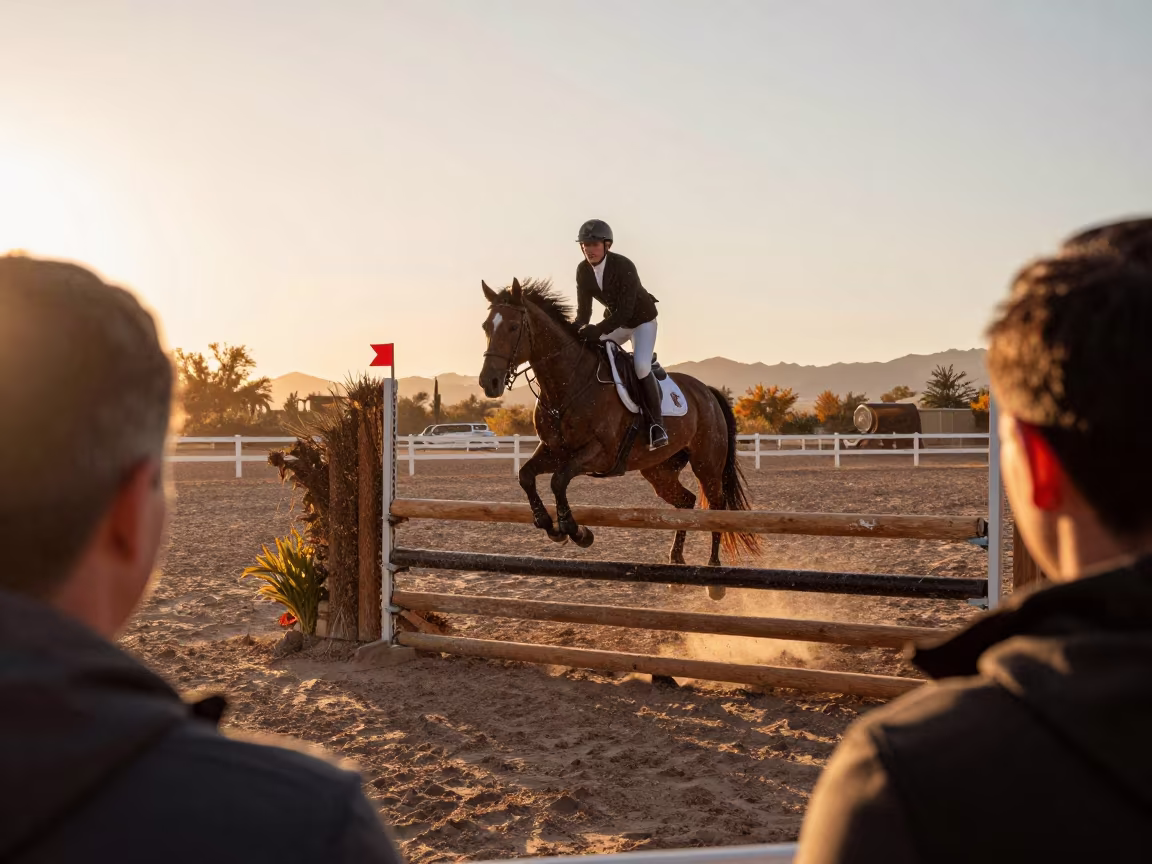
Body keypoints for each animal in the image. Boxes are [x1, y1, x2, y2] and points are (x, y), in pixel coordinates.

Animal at [478, 277, 759, 599]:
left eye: (513, 327)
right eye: (486, 327)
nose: (489, 382)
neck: (566, 385)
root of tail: (707, 392)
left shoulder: (599, 453)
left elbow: (558, 480)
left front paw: (576, 531)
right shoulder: (553, 450)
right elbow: (526, 476)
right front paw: (548, 524)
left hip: (707, 464)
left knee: (716, 507)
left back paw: (714, 576)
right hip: (659, 470)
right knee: (686, 501)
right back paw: (676, 563)